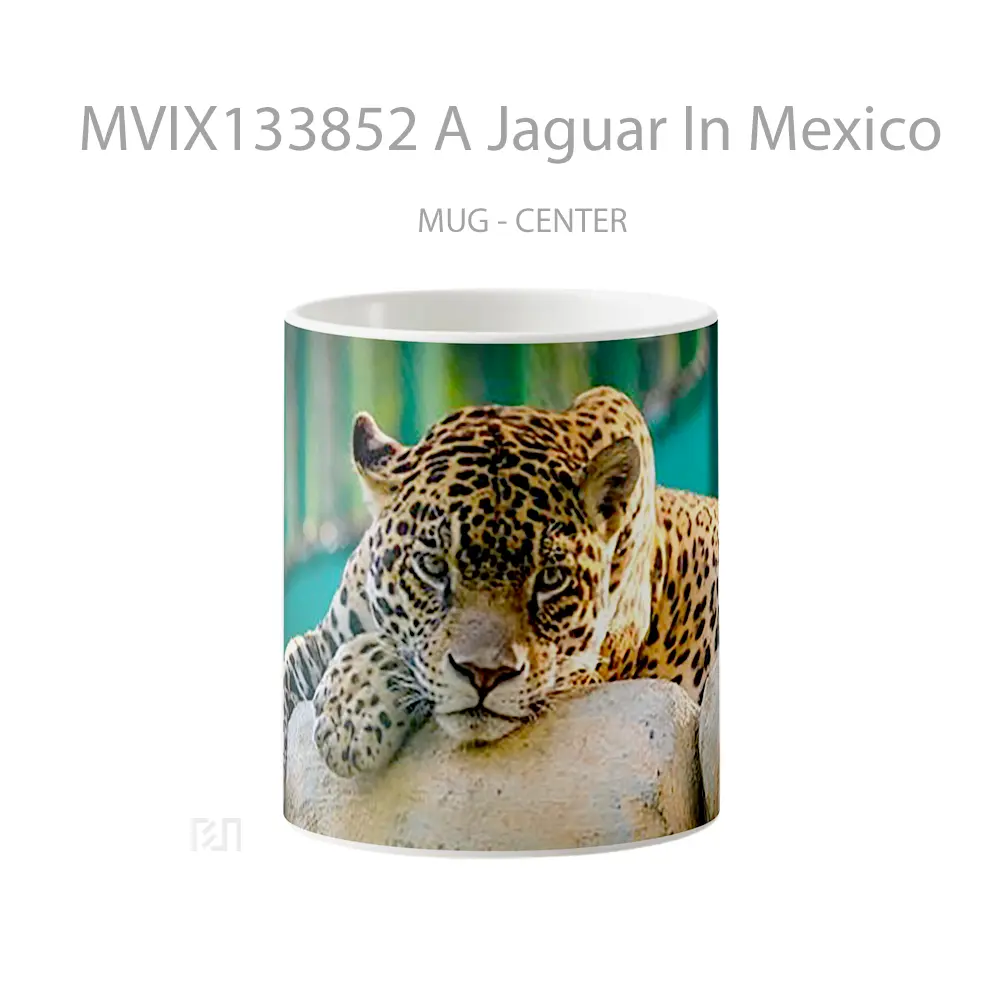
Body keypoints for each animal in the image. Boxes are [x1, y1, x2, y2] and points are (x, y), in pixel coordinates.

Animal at [284, 386, 718, 779]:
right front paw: (350, 712)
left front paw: (350, 716)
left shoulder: (588, 663)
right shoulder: (319, 642)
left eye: (551, 579)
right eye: (433, 566)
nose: (484, 675)